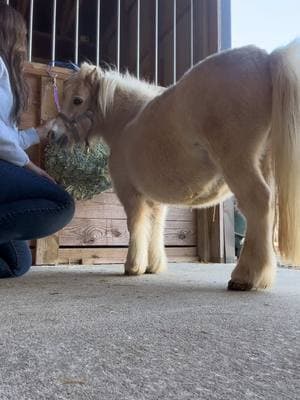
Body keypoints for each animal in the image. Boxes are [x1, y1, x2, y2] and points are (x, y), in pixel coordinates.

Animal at [48, 41, 300, 290]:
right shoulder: (155, 201)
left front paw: (133, 267)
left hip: (238, 163)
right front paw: (153, 266)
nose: (53, 134)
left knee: (257, 203)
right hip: (263, 165)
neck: (126, 121)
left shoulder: (130, 194)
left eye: (77, 100)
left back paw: (245, 277)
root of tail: (266, 59)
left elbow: (136, 225)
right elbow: (156, 228)